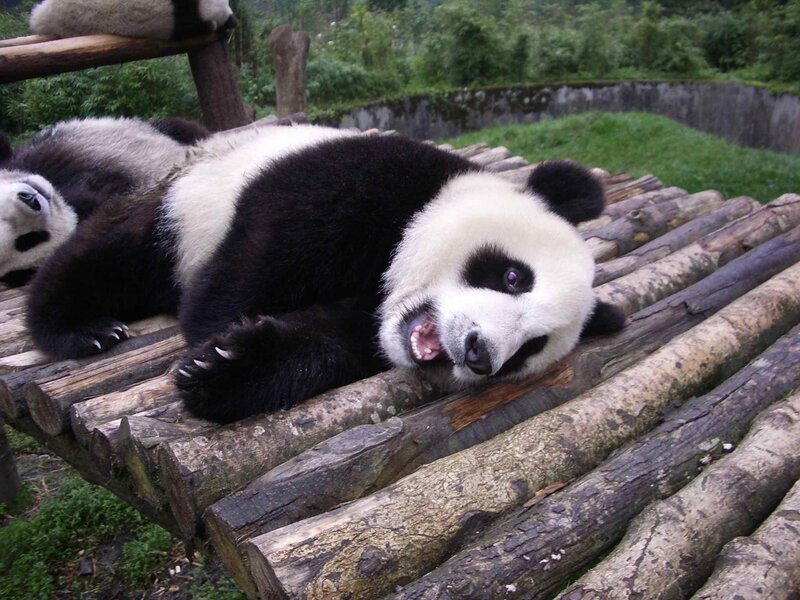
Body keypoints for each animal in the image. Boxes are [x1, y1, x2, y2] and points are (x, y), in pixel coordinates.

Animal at [26, 125, 626, 423]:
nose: (479, 354)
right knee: (114, 254)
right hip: (181, 199)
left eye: (530, 348)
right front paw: (211, 334)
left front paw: (228, 368)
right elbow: (257, 259)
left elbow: (324, 343)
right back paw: (83, 329)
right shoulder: (366, 179)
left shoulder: (365, 324)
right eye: (513, 277)